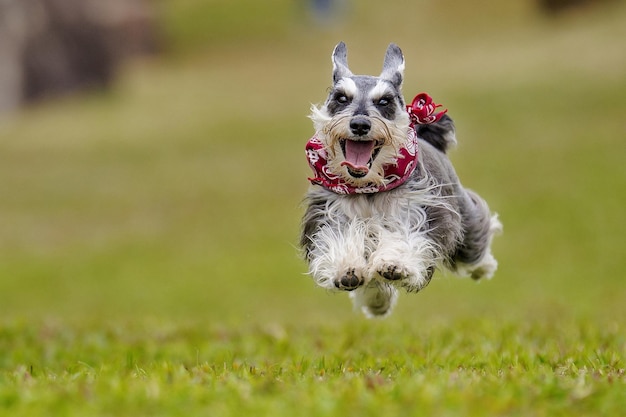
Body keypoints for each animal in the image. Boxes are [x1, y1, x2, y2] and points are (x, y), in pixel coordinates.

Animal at [300, 41, 500, 316]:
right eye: (341, 98)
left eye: (385, 101)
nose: (360, 124)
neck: (369, 187)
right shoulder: (330, 213)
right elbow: (340, 239)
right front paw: (346, 269)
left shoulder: (419, 212)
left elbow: (402, 237)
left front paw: (394, 264)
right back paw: (377, 302)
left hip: (464, 221)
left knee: (476, 242)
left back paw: (485, 266)